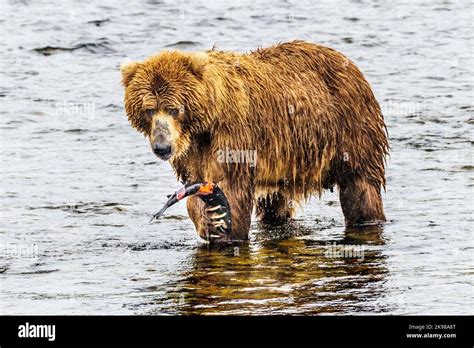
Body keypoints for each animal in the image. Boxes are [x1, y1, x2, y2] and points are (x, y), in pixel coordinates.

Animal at [121, 40, 388, 242]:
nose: (162, 147)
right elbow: (194, 186)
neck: (203, 124)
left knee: (360, 188)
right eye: (149, 109)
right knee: (274, 204)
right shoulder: (191, 152)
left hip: (350, 130)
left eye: (174, 109)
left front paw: (227, 231)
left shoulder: (233, 136)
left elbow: (232, 188)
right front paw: (208, 219)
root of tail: (350, 63)